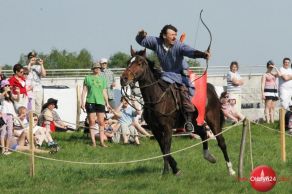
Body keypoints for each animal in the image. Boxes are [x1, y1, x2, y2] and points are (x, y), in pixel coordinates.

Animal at [120, 48, 236, 176]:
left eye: (139, 63)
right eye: (128, 62)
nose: (123, 79)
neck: (157, 97)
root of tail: (211, 88)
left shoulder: (167, 128)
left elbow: (166, 149)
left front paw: (166, 172)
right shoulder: (155, 129)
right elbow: (163, 148)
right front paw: (175, 169)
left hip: (213, 119)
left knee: (221, 141)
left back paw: (230, 169)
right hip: (194, 123)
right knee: (203, 133)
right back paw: (209, 156)